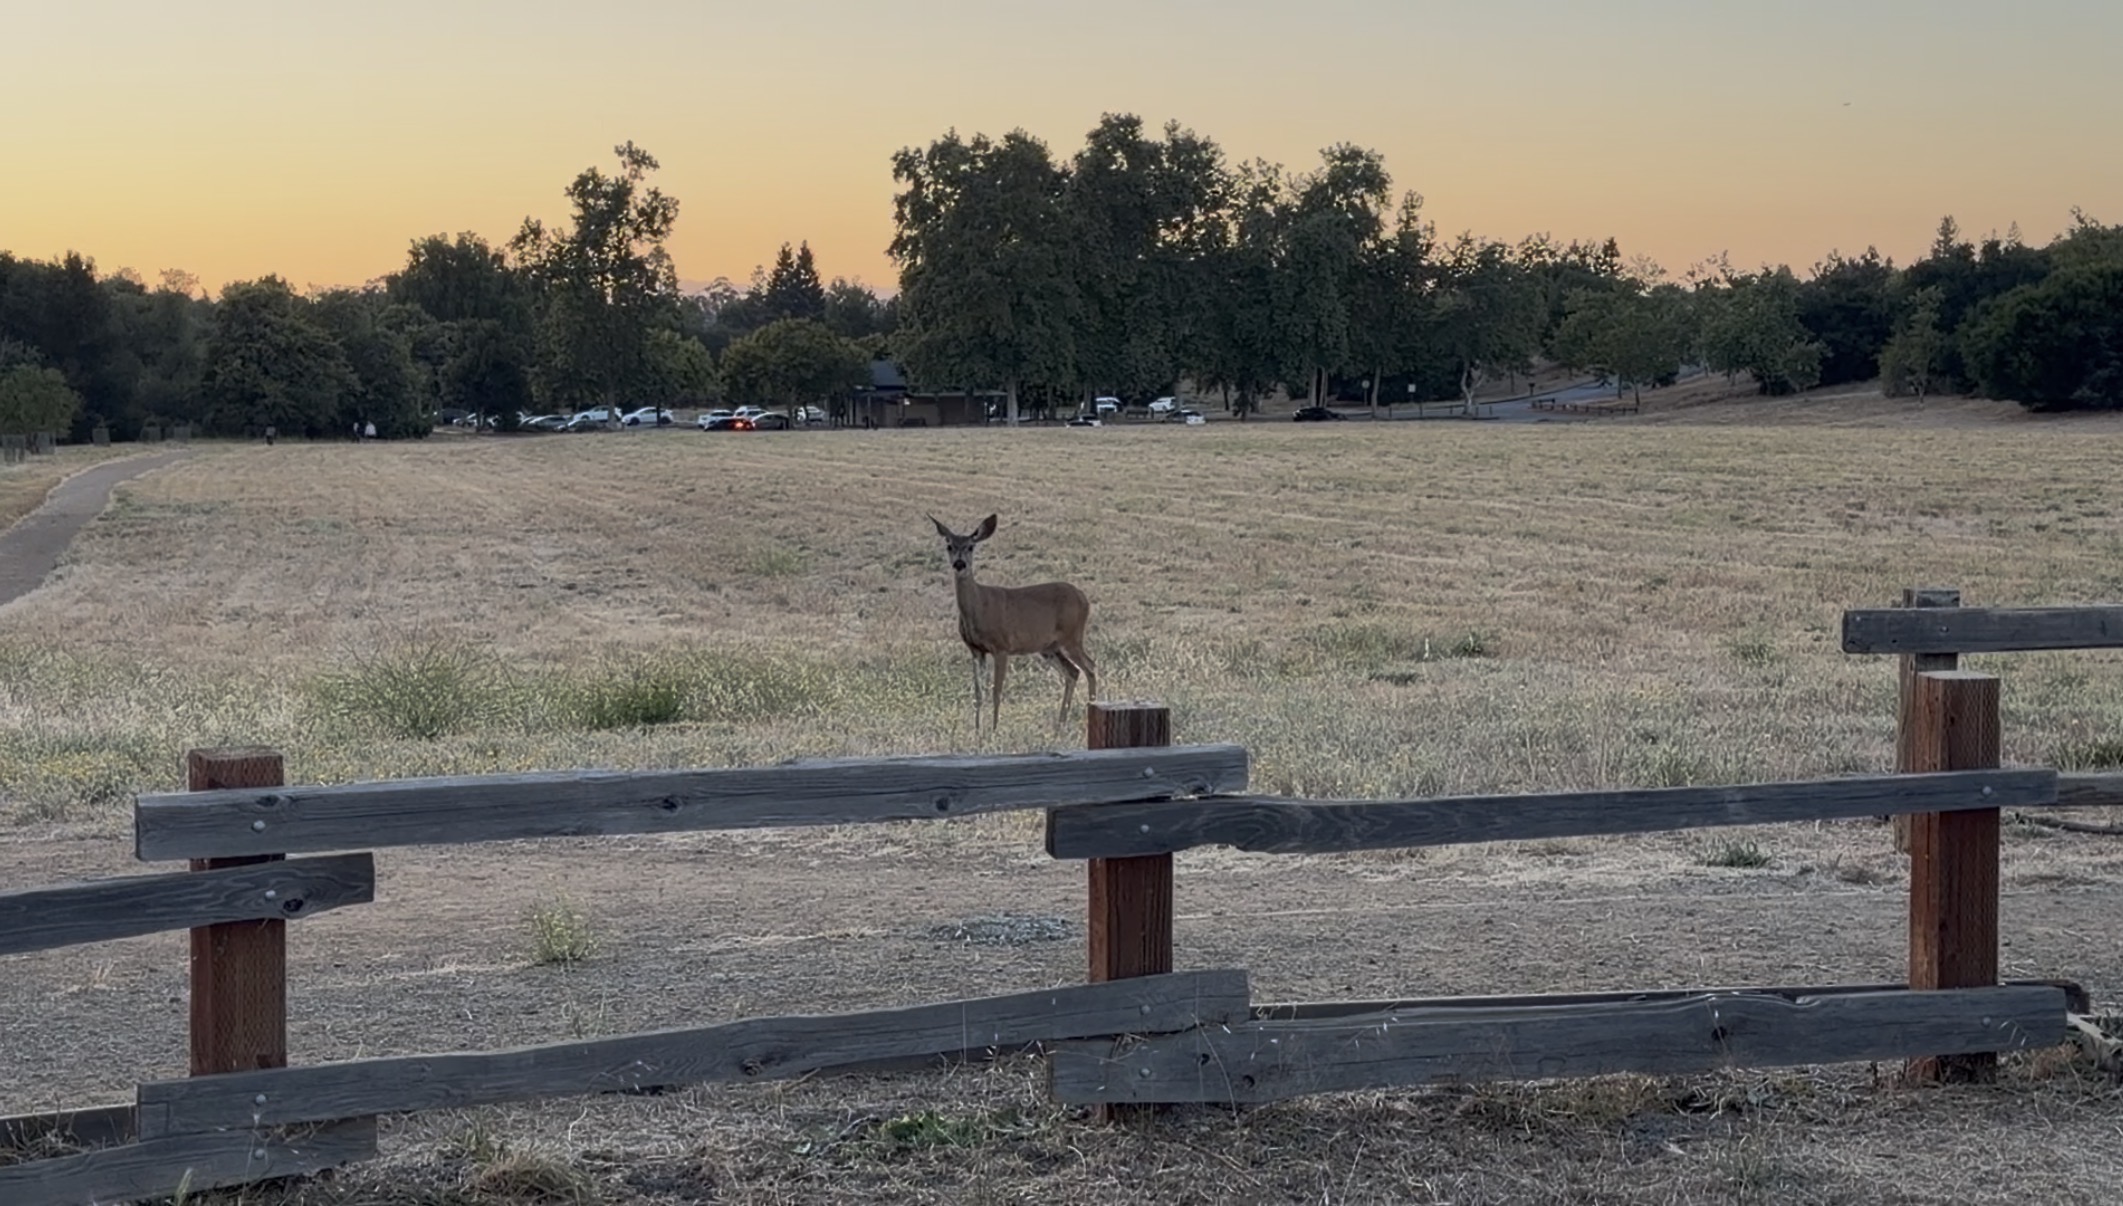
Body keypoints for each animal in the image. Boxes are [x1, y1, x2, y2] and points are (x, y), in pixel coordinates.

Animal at [928, 514, 1098, 733]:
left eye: (971, 547)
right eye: (949, 546)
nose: (959, 564)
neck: (978, 606)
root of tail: (1084, 598)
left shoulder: (1001, 646)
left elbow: (996, 691)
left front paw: (993, 730)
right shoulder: (975, 650)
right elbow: (978, 694)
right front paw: (977, 730)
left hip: (1072, 636)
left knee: (1090, 666)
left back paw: (1089, 710)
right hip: (1049, 647)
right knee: (1073, 671)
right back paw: (1061, 724)